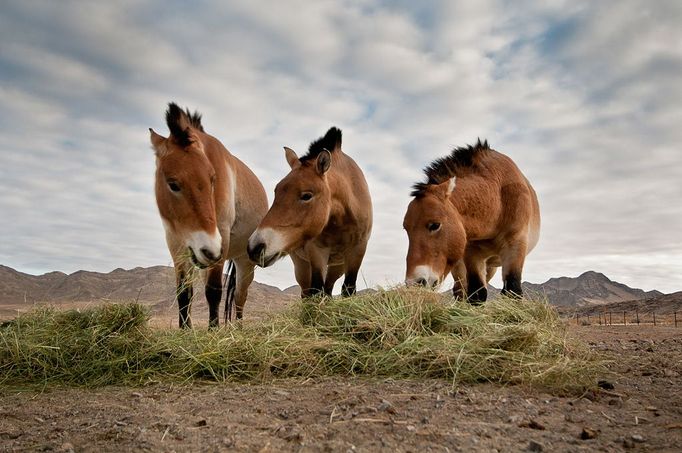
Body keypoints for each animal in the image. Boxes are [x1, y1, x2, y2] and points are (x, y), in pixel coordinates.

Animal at [150, 102, 266, 324]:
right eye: (172, 184)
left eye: (213, 179)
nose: (210, 249)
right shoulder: (177, 243)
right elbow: (184, 294)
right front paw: (185, 329)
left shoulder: (221, 238)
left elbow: (213, 292)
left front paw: (213, 330)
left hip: (244, 262)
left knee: (240, 297)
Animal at [244, 127, 372, 296]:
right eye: (276, 192)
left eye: (306, 196)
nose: (255, 247)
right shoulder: (317, 252)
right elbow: (316, 290)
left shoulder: (358, 249)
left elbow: (348, 288)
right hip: (302, 266)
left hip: (337, 266)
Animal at [402, 139, 540, 302]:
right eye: (406, 229)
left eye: (435, 225)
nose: (414, 282)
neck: (497, 197)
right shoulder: (472, 253)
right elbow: (477, 294)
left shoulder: (516, 244)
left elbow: (512, 290)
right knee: (461, 290)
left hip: (492, 265)